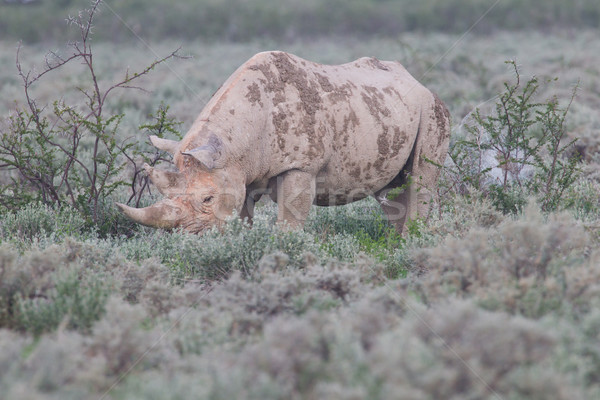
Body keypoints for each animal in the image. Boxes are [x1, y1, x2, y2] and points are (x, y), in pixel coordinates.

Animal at [116, 50, 450, 234]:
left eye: (208, 199)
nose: (190, 239)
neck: (233, 144)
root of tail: (419, 83)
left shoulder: (301, 165)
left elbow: (289, 219)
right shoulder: (241, 171)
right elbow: (242, 216)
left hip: (433, 110)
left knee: (420, 181)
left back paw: (407, 246)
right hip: (389, 110)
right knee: (392, 192)